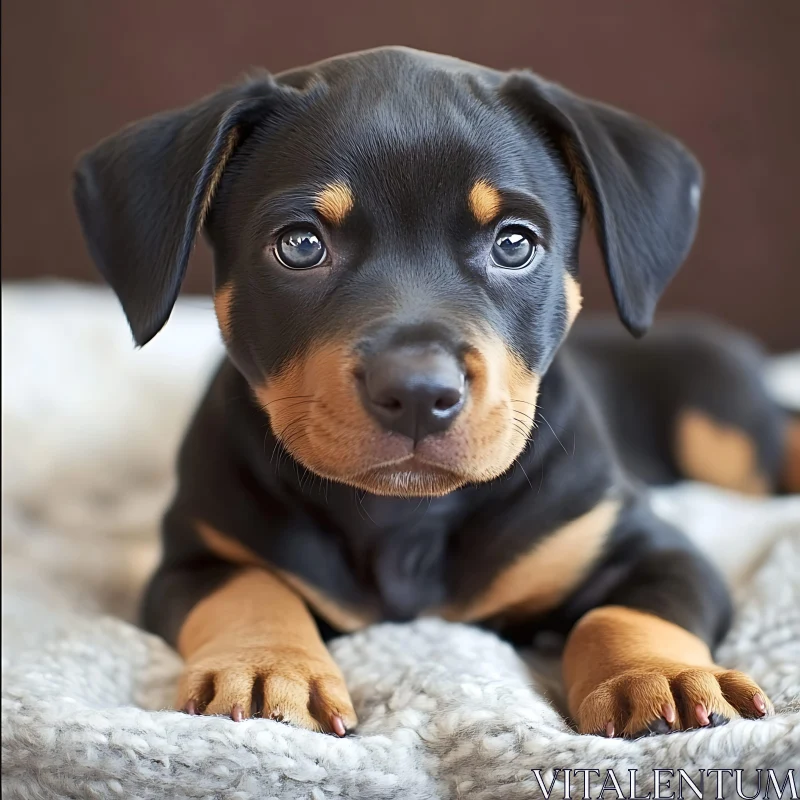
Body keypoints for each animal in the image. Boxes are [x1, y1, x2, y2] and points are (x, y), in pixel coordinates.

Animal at [72, 47, 796, 740]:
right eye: (301, 245)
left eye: (514, 244)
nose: (418, 393)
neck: (405, 519)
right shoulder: (195, 555)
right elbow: (250, 591)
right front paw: (265, 669)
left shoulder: (645, 544)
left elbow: (626, 611)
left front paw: (660, 675)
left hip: (718, 426)